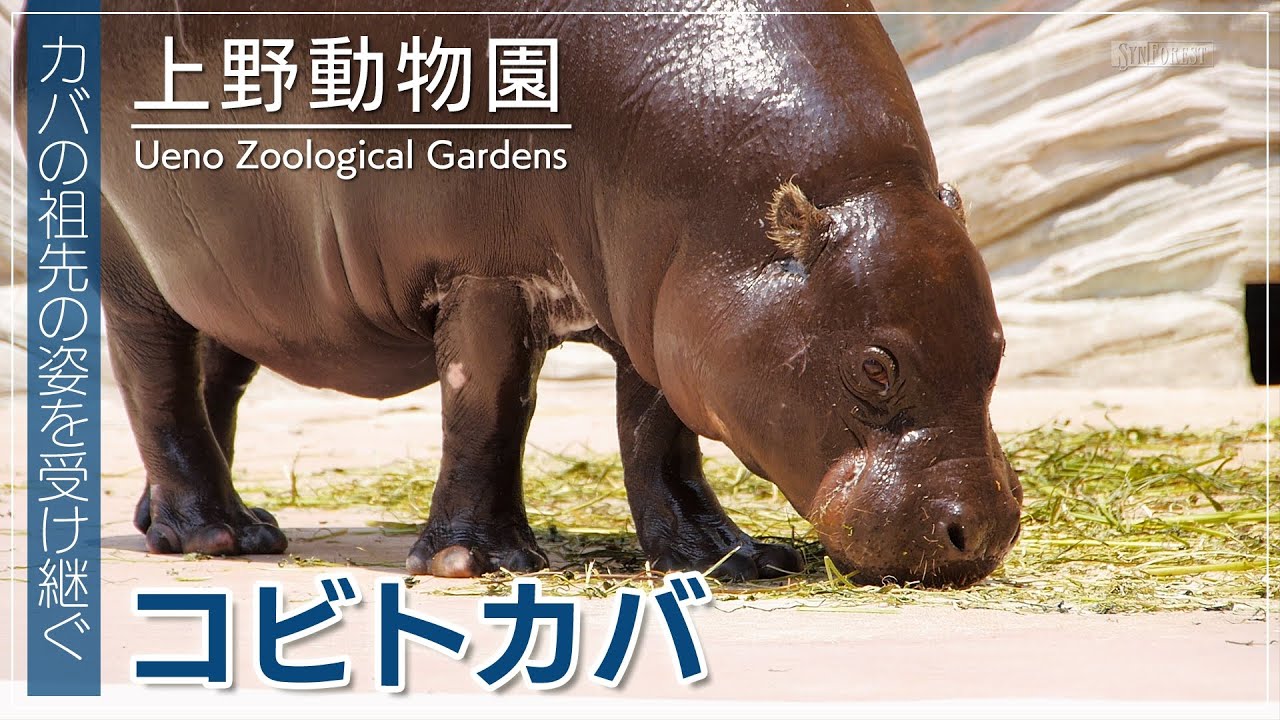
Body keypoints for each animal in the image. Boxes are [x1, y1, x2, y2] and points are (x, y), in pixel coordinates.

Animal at [17, 0, 1022, 587]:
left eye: (999, 349)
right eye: (876, 365)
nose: (984, 531)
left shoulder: (660, 302)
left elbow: (661, 434)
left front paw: (730, 559)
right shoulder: (486, 272)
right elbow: (490, 409)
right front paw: (477, 562)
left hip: (232, 281)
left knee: (212, 381)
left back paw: (195, 523)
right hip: (125, 255)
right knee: (155, 383)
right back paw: (217, 537)